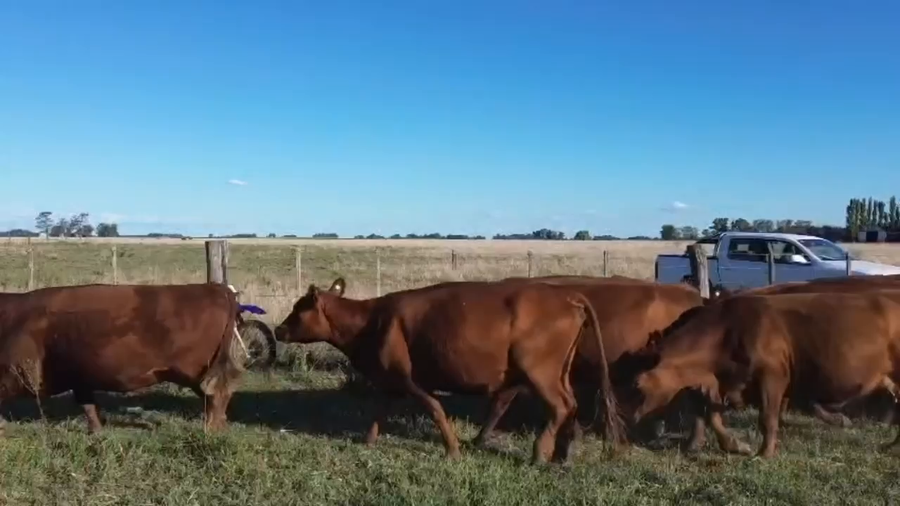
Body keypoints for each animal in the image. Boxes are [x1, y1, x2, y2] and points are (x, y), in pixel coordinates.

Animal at [0, 283, 247, 435]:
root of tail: (217, 288)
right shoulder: (81, 377)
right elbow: (89, 405)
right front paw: (97, 431)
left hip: (197, 370)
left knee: (217, 393)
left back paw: (212, 428)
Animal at [273, 277, 625, 465]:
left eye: (298, 309)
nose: (278, 330)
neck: (371, 320)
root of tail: (566, 295)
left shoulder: (410, 379)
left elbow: (435, 409)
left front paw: (453, 450)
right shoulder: (391, 380)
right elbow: (379, 411)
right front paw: (369, 441)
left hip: (539, 372)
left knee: (561, 406)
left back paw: (540, 454)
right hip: (559, 373)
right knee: (572, 406)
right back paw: (563, 454)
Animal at [625, 290, 900, 458]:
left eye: (636, 384)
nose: (629, 421)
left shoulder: (772, 377)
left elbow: (767, 418)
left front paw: (764, 454)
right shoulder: (720, 384)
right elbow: (711, 416)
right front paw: (737, 446)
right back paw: (891, 446)